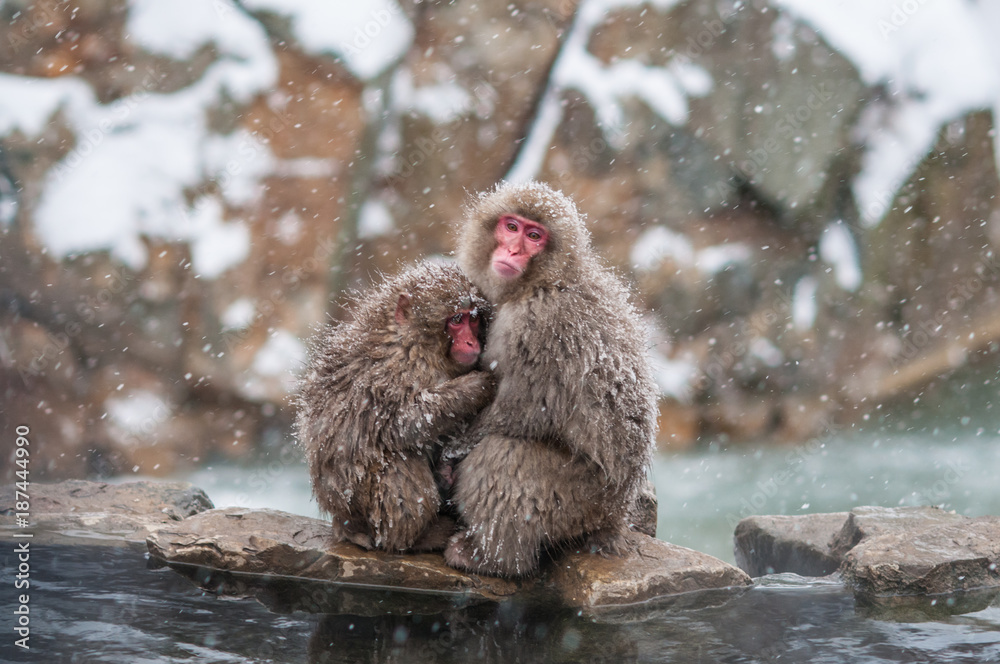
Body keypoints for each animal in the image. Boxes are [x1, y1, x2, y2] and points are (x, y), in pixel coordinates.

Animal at [295, 261, 494, 553]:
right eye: (457, 320)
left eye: (474, 318)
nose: (472, 342)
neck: (414, 341)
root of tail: (341, 522)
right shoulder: (393, 372)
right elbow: (399, 424)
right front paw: (476, 387)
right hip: (361, 507)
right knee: (394, 459)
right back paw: (416, 537)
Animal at [444, 181, 659, 578]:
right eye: (511, 227)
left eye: (534, 236)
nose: (513, 249)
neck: (541, 282)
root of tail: (617, 514)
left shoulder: (539, 325)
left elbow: (522, 410)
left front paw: (449, 452)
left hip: (580, 501)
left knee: (505, 454)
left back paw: (494, 559)